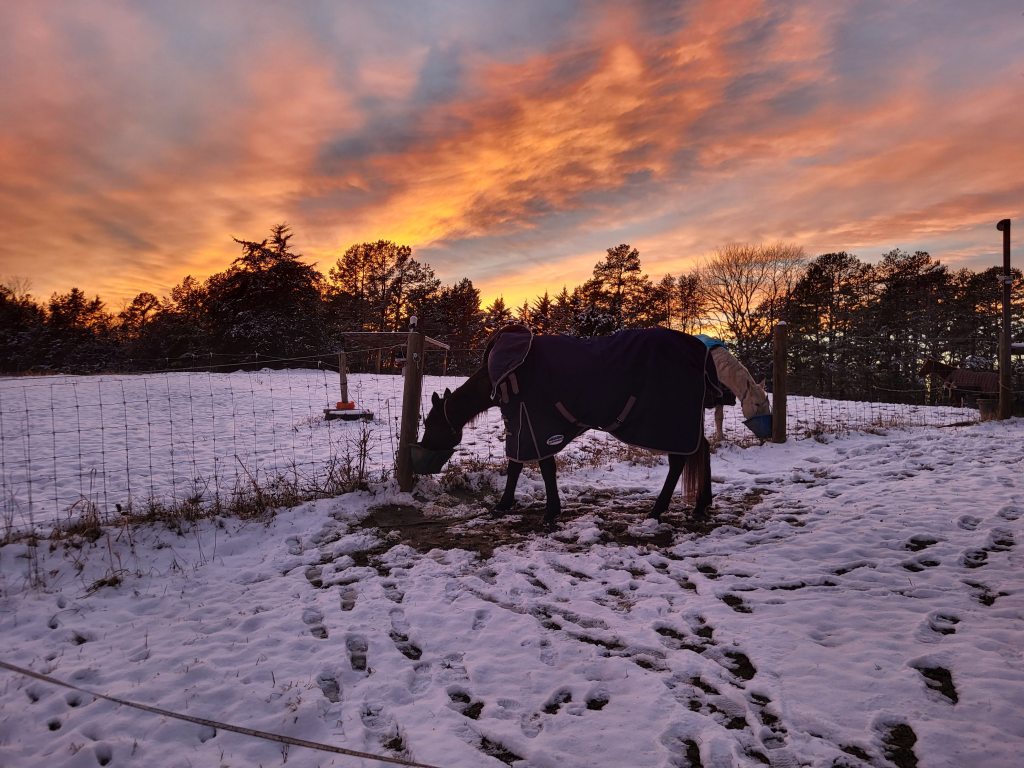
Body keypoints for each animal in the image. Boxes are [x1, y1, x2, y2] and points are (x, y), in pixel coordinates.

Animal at [417, 325, 728, 528]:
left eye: (430, 422)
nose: (423, 448)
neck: (509, 373)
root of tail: (699, 350)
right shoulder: (523, 424)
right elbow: (520, 465)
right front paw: (507, 505)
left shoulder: (533, 422)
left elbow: (538, 467)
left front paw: (545, 511)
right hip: (686, 423)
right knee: (702, 451)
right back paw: (701, 504)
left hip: (670, 424)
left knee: (679, 461)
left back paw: (656, 511)